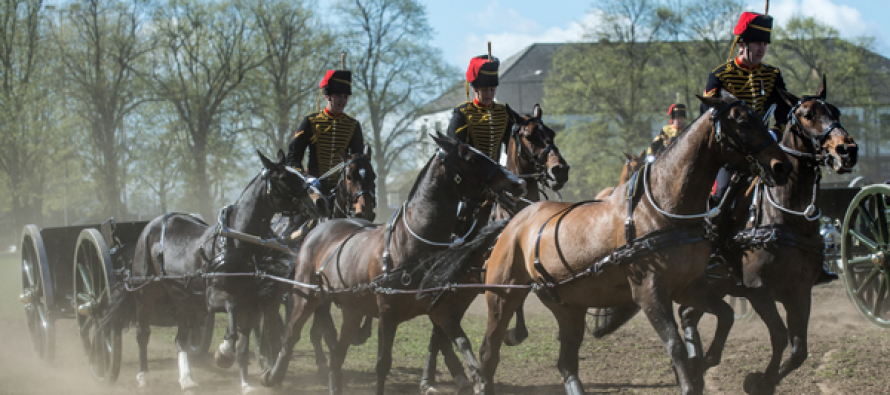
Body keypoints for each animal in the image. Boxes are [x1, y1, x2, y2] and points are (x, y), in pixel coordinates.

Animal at [102, 150, 322, 394]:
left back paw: (187, 379)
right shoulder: (214, 299)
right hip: (146, 293)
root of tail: (153, 224)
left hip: (183, 299)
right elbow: (233, 322)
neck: (234, 244)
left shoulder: (252, 302)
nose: (318, 200)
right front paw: (223, 354)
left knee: (181, 338)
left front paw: (246, 384)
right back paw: (143, 376)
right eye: (283, 177)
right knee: (143, 333)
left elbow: (243, 343)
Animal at [256, 134, 524, 395]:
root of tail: (318, 229)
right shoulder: (387, 314)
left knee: (337, 354)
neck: (411, 243)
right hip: (305, 295)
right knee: (292, 334)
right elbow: (382, 364)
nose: (518, 182)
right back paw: (273, 373)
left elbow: (463, 346)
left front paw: (476, 380)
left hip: (352, 310)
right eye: (470, 158)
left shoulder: (441, 310)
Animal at [424, 93, 792, 395]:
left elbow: (726, 316)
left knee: (566, 362)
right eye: (742, 121)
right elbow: (674, 344)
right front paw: (691, 377)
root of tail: (515, 220)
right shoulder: (649, 291)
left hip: (567, 305)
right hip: (501, 295)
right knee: (486, 351)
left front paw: (702, 363)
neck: (663, 209)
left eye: (761, 117)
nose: (782, 165)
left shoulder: (690, 285)